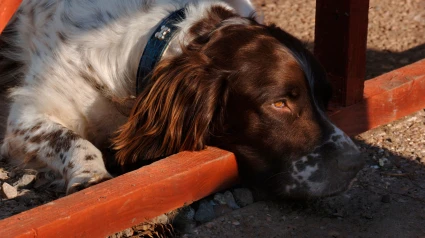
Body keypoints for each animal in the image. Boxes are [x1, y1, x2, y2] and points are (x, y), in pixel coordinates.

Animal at [0, 0, 364, 197]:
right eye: (280, 103)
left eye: (325, 99)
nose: (355, 164)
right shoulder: (27, 114)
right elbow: (73, 140)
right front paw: (91, 176)